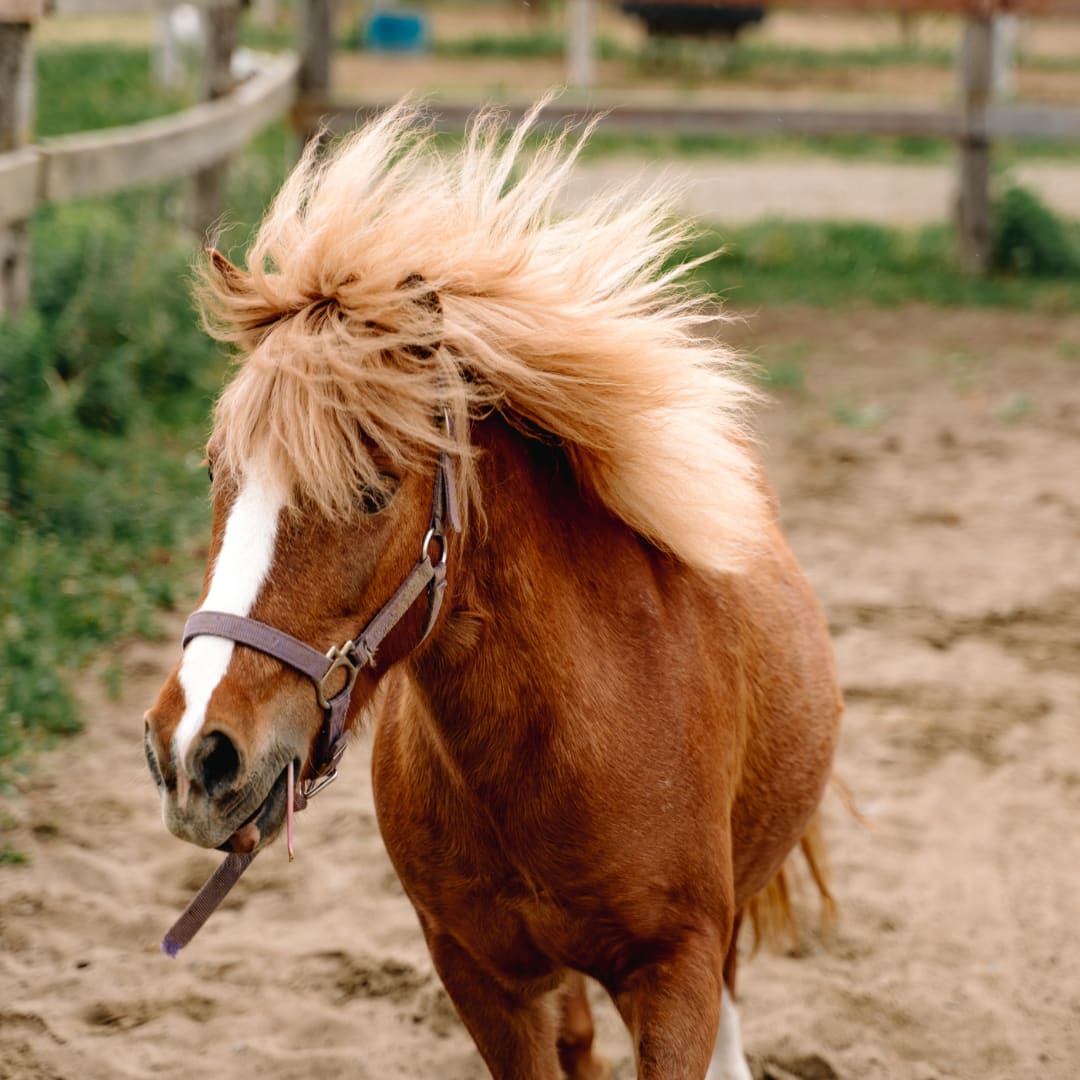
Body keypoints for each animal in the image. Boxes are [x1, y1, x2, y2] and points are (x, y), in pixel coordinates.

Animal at [144, 103, 842, 1080]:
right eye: (215, 471)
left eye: (371, 490)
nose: (193, 757)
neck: (565, 740)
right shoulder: (481, 977)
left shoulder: (678, 974)